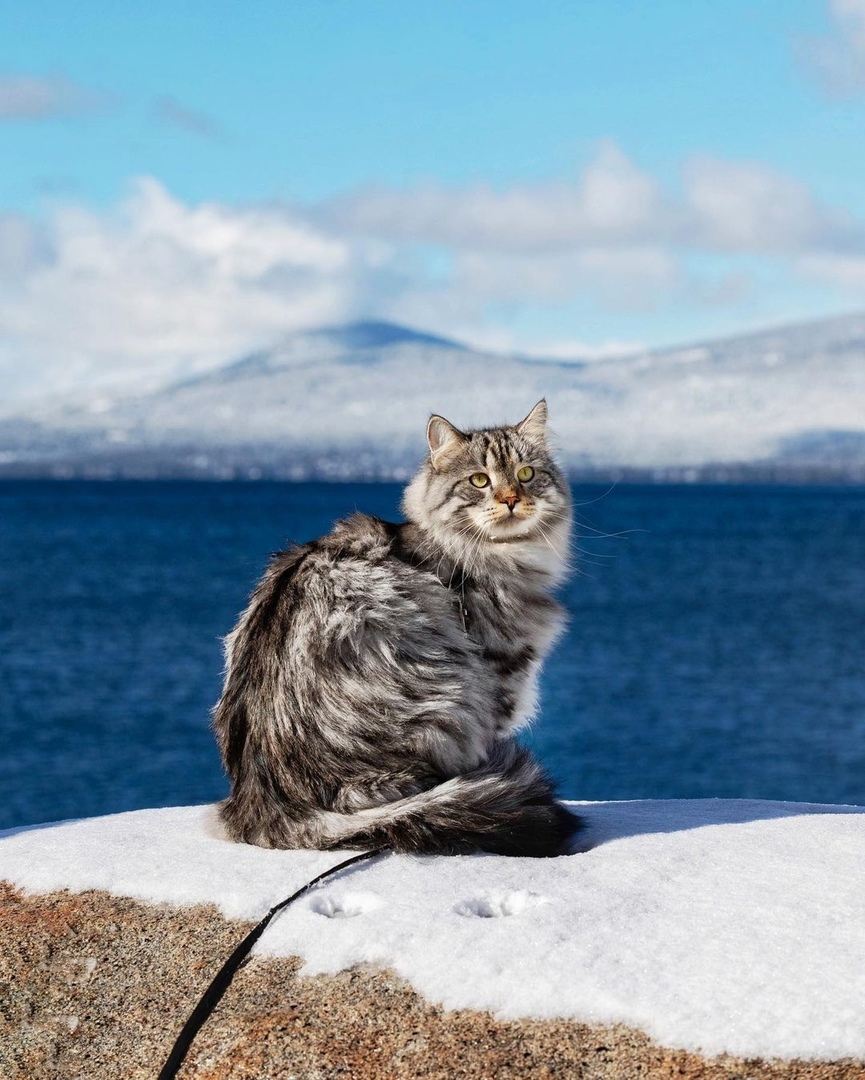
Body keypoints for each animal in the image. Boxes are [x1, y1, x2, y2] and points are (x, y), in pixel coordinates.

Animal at [210, 401, 578, 855]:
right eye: (479, 480)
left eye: (526, 474)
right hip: (447, 702)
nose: (512, 499)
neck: (502, 557)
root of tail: (268, 803)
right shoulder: (496, 680)